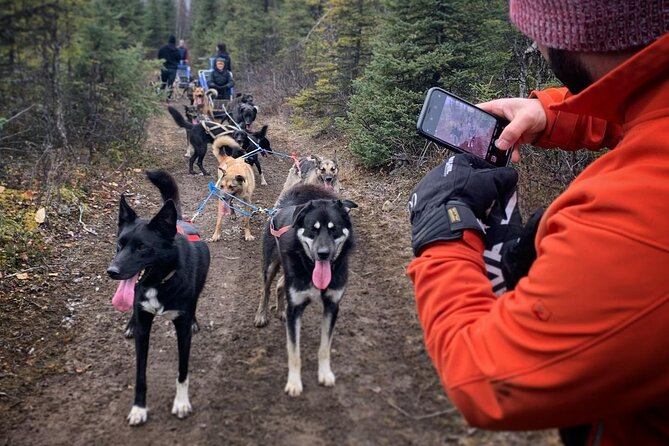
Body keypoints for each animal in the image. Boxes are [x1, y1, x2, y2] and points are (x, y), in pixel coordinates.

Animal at [106, 170, 209, 426]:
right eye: (119, 244)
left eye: (142, 247)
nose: (111, 271)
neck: (159, 283)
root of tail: (178, 221)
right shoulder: (144, 326)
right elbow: (140, 373)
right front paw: (139, 408)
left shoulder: (181, 330)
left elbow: (182, 371)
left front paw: (181, 402)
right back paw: (129, 324)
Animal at [256, 184, 358, 398]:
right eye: (313, 229)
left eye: (334, 229)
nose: (323, 254)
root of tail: (285, 207)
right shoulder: (296, 309)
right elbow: (294, 352)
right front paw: (294, 383)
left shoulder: (332, 306)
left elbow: (325, 347)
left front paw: (325, 374)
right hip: (270, 265)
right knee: (266, 288)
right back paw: (261, 314)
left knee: (280, 286)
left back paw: (280, 311)